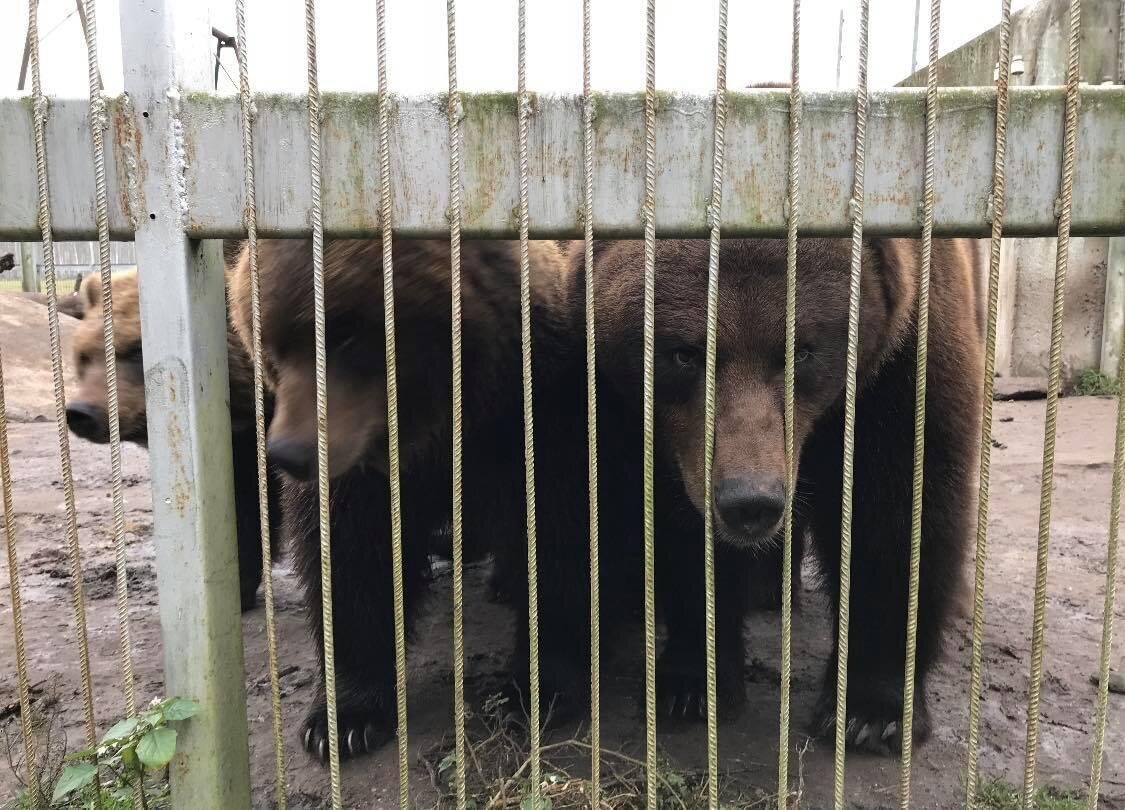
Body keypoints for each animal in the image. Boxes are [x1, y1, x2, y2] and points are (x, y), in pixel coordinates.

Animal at [229, 238, 634, 761]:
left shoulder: (539, 417)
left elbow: (565, 534)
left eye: (346, 335)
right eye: (272, 343)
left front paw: (537, 689)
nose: (290, 452)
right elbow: (353, 561)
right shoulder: (360, 478)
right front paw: (343, 718)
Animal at [579, 237, 981, 751]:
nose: (749, 502)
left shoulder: (900, 363)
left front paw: (870, 712)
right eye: (684, 354)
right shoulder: (663, 435)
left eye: (802, 352)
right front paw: (693, 684)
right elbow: (680, 530)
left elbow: (896, 512)